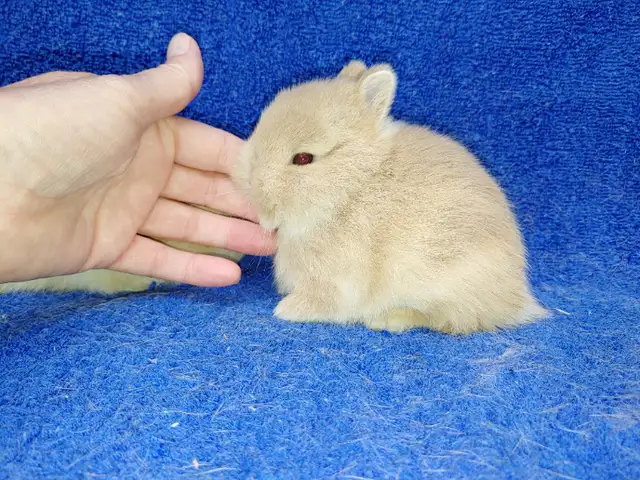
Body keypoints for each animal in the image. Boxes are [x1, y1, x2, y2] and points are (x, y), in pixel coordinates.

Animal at [231, 60, 548, 333]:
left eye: (303, 158)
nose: (252, 185)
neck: (349, 191)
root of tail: (514, 298)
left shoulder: (339, 282)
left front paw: (286, 309)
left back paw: (389, 319)